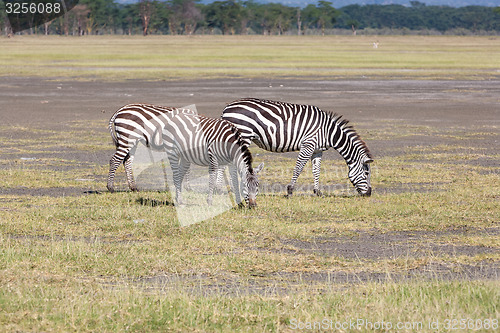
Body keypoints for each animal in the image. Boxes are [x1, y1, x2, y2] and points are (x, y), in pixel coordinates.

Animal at [221, 97, 374, 196]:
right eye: (366, 173)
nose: (369, 193)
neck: (328, 132)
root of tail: (227, 107)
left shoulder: (317, 150)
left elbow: (316, 170)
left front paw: (318, 192)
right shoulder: (308, 145)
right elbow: (298, 168)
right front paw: (289, 191)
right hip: (243, 135)